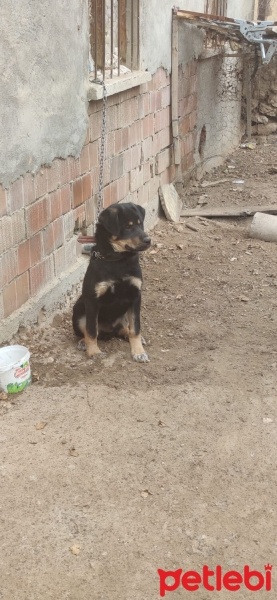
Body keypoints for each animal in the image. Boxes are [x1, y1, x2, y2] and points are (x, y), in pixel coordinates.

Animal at [73, 203, 151, 360]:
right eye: (127, 227)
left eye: (140, 224)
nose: (148, 240)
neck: (118, 261)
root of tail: (109, 331)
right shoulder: (92, 300)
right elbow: (91, 330)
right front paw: (94, 352)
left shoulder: (135, 296)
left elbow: (135, 328)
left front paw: (139, 352)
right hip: (78, 310)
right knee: (89, 330)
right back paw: (84, 342)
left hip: (122, 316)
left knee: (124, 328)